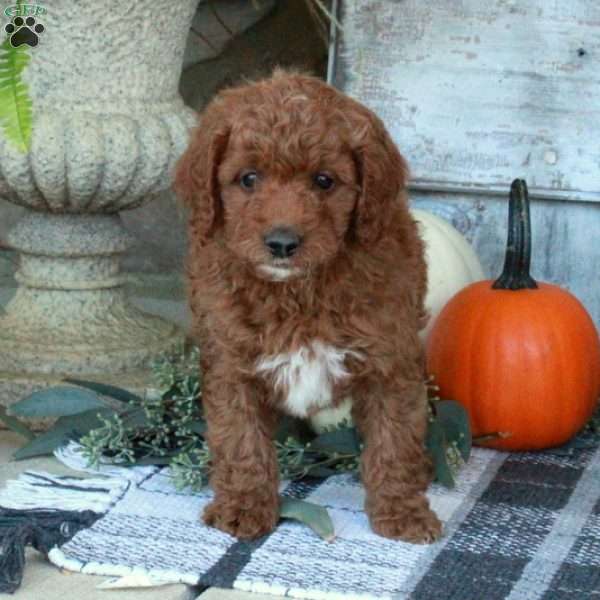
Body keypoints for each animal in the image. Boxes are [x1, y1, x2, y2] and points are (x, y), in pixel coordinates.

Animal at [173, 69, 440, 544]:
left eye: (324, 181)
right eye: (248, 179)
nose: (281, 243)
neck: (296, 291)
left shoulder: (390, 361)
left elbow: (394, 440)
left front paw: (403, 511)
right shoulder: (231, 362)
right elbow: (241, 440)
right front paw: (243, 506)